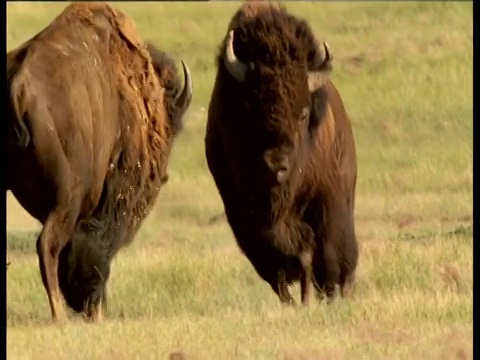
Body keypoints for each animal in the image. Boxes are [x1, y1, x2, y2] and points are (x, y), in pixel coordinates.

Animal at [204, 2, 358, 306]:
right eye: (251, 109)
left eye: (303, 114)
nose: (276, 165)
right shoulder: (244, 215)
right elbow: (280, 264)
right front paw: (296, 301)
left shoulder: (327, 199)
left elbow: (326, 252)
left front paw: (327, 296)